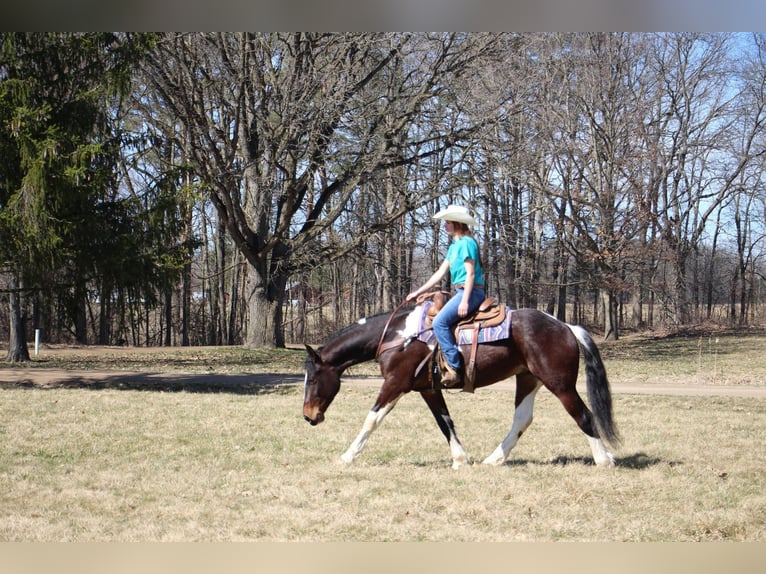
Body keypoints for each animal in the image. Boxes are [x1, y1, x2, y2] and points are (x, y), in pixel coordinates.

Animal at [304, 304, 620, 470]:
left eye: (314, 378)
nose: (308, 416)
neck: (399, 336)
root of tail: (566, 327)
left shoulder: (395, 383)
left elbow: (371, 419)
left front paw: (347, 456)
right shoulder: (429, 389)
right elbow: (445, 422)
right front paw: (460, 459)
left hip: (560, 384)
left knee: (583, 415)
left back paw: (604, 459)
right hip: (529, 379)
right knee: (522, 419)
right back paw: (494, 459)